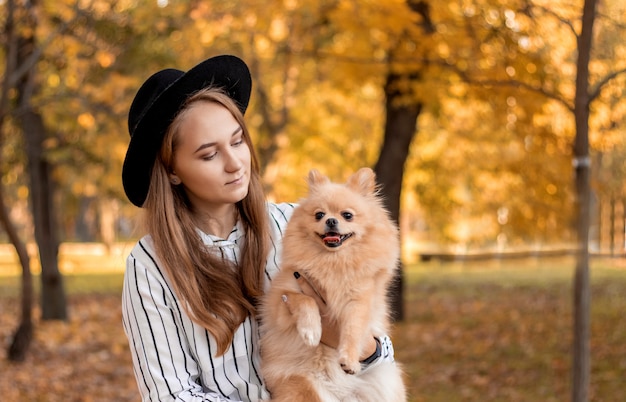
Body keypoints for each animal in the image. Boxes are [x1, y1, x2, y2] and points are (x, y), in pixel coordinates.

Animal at [258, 167, 404, 402]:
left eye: (347, 215)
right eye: (319, 214)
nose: (331, 221)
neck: (333, 262)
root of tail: (342, 395)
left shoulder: (359, 301)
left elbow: (353, 329)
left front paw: (349, 359)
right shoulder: (281, 302)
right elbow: (304, 299)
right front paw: (311, 330)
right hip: (302, 386)